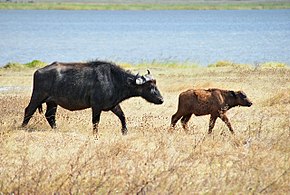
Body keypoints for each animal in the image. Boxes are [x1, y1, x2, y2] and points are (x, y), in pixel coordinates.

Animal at [22, 60, 163, 138]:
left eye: (156, 85)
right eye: (150, 86)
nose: (161, 100)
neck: (114, 80)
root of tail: (38, 71)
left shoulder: (113, 105)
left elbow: (122, 116)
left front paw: (124, 131)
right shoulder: (96, 106)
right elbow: (95, 122)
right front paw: (95, 134)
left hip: (52, 102)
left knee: (50, 116)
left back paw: (56, 129)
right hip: (37, 96)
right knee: (29, 110)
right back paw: (22, 127)